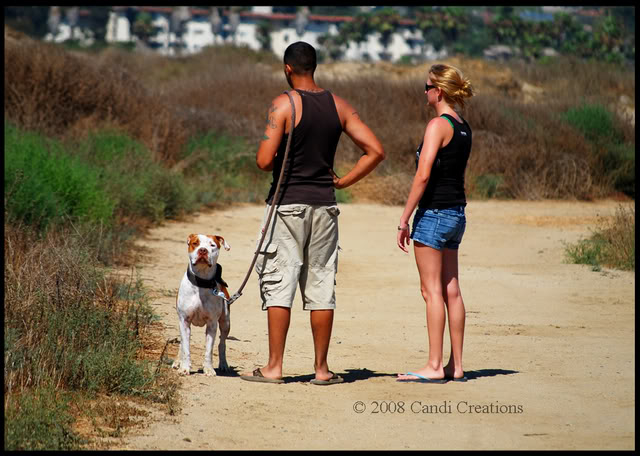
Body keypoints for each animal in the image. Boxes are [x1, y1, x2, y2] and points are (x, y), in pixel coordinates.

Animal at [174, 233, 231, 376]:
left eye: (212, 245)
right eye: (195, 243)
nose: (203, 250)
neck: (201, 282)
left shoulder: (212, 323)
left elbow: (209, 350)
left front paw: (209, 369)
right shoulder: (184, 321)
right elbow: (186, 348)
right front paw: (184, 367)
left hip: (226, 322)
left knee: (222, 344)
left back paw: (223, 365)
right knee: (181, 342)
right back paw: (177, 361)